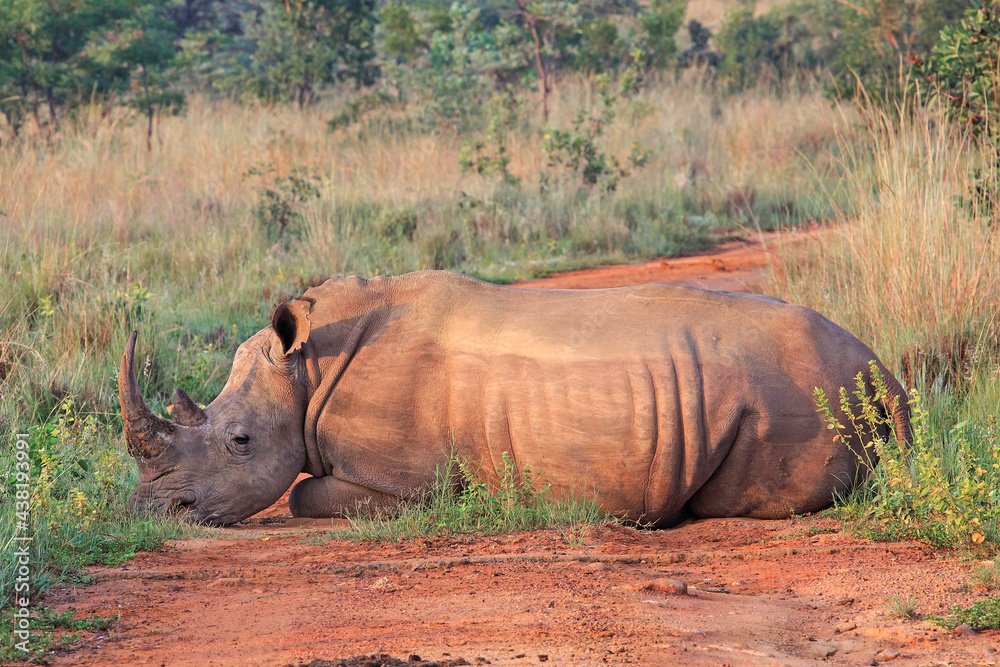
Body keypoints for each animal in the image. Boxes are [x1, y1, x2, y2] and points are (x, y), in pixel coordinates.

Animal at [120, 270, 911, 527]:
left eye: (240, 442)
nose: (158, 510)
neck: (308, 367)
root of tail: (884, 373)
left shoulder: (407, 483)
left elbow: (303, 494)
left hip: (799, 389)